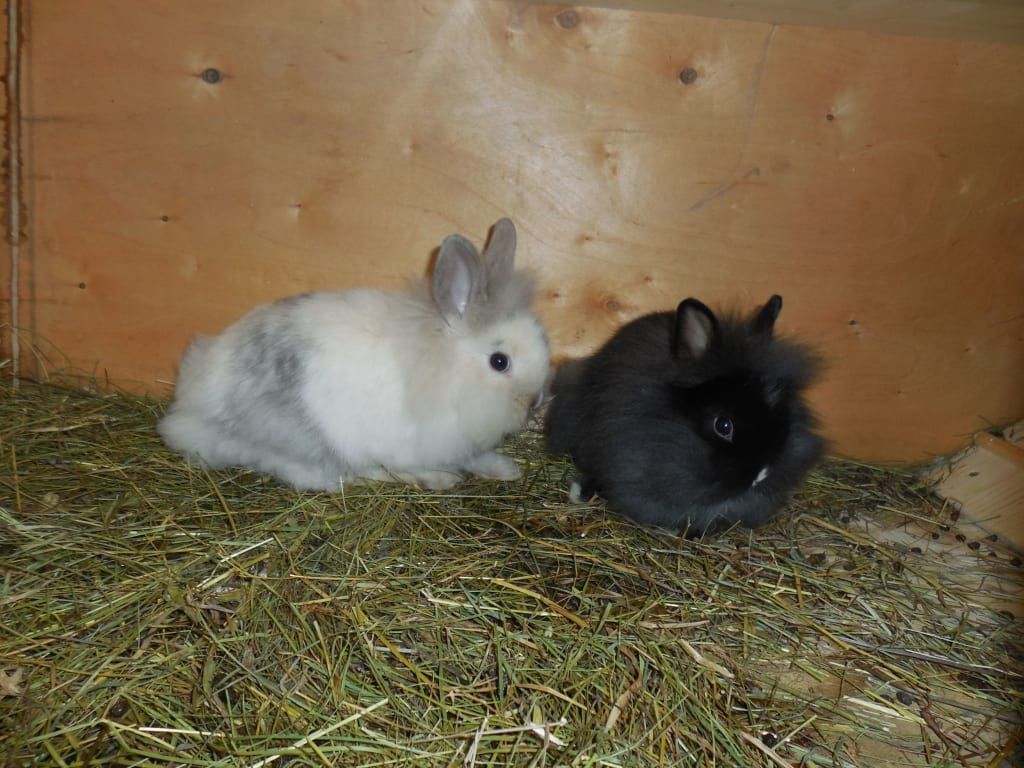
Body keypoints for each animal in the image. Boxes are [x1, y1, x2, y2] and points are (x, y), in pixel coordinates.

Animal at [158, 218, 550, 491]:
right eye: (499, 361)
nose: (536, 402)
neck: (444, 368)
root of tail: (187, 409)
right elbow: (412, 464)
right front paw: (443, 477)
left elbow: (481, 457)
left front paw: (508, 469)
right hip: (311, 443)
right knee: (318, 476)